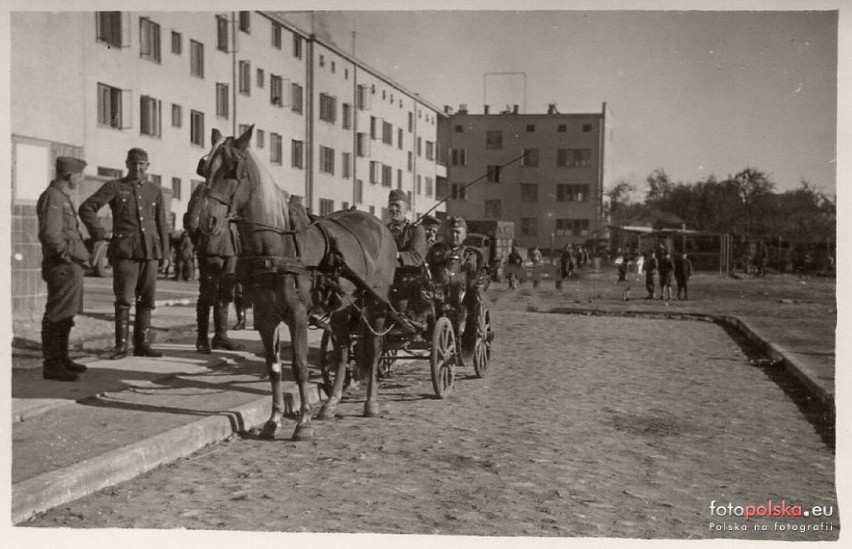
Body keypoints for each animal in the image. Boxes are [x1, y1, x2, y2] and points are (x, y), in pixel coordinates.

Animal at [188, 125, 398, 440]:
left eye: (234, 170)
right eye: (204, 168)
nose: (206, 222)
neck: (276, 247)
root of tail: (380, 225)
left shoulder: (297, 315)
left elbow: (298, 366)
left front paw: (303, 423)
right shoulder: (265, 317)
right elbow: (273, 367)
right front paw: (274, 420)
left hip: (375, 302)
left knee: (372, 350)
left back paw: (371, 403)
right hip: (342, 305)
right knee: (343, 350)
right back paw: (331, 404)